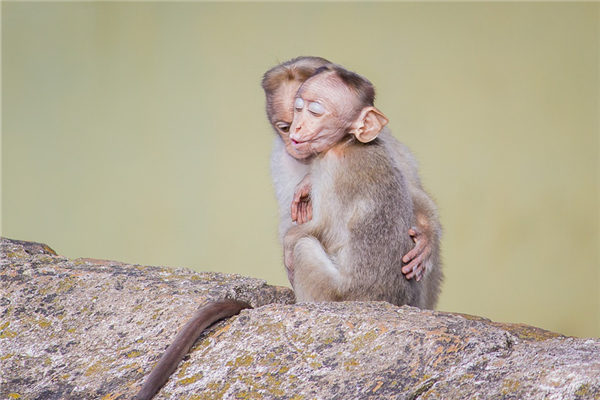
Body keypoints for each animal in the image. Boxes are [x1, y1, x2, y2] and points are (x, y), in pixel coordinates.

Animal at [262, 57, 440, 288]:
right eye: (285, 126)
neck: (344, 143)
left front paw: (426, 236)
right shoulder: (281, 158)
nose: (295, 132)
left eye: (313, 113)